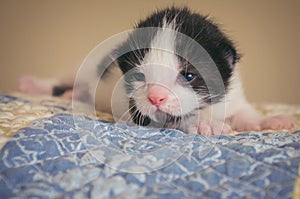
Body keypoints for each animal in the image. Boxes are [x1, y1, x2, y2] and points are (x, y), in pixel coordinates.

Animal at [19, 7, 294, 135]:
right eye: (139, 76)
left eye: (188, 75)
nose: (155, 98)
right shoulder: (135, 110)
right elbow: (176, 119)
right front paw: (205, 124)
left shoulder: (233, 96)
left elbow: (246, 112)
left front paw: (270, 120)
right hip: (83, 67)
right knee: (61, 79)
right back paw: (35, 86)